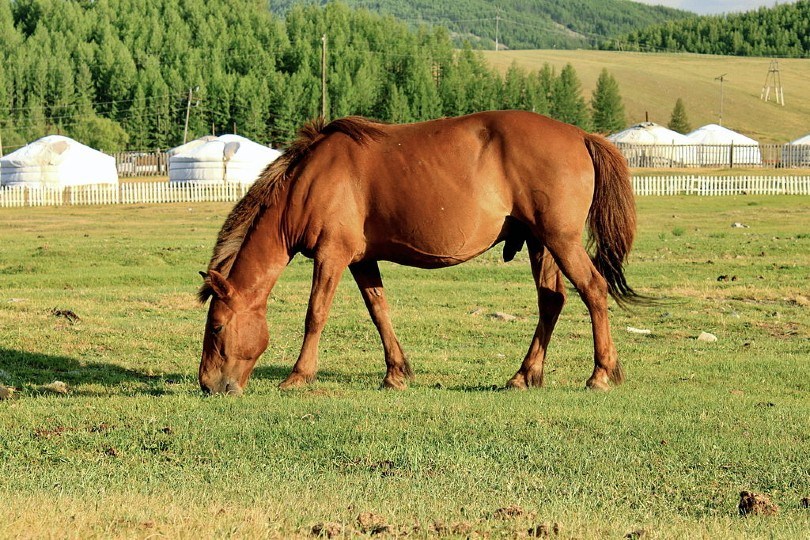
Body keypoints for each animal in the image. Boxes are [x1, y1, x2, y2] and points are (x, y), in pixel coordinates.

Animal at [197, 110, 638, 395]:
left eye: (216, 328)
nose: (208, 385)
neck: (309, 181)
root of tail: (581, 136)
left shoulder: (331, 257)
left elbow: (315, 315)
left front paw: (299, 375)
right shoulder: (361, 261)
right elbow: (379, 311)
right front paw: (396, 373)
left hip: (560, 241)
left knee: (593, 290)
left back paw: (600, 374)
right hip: (539, 243)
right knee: (552, 301)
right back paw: (524, 375)